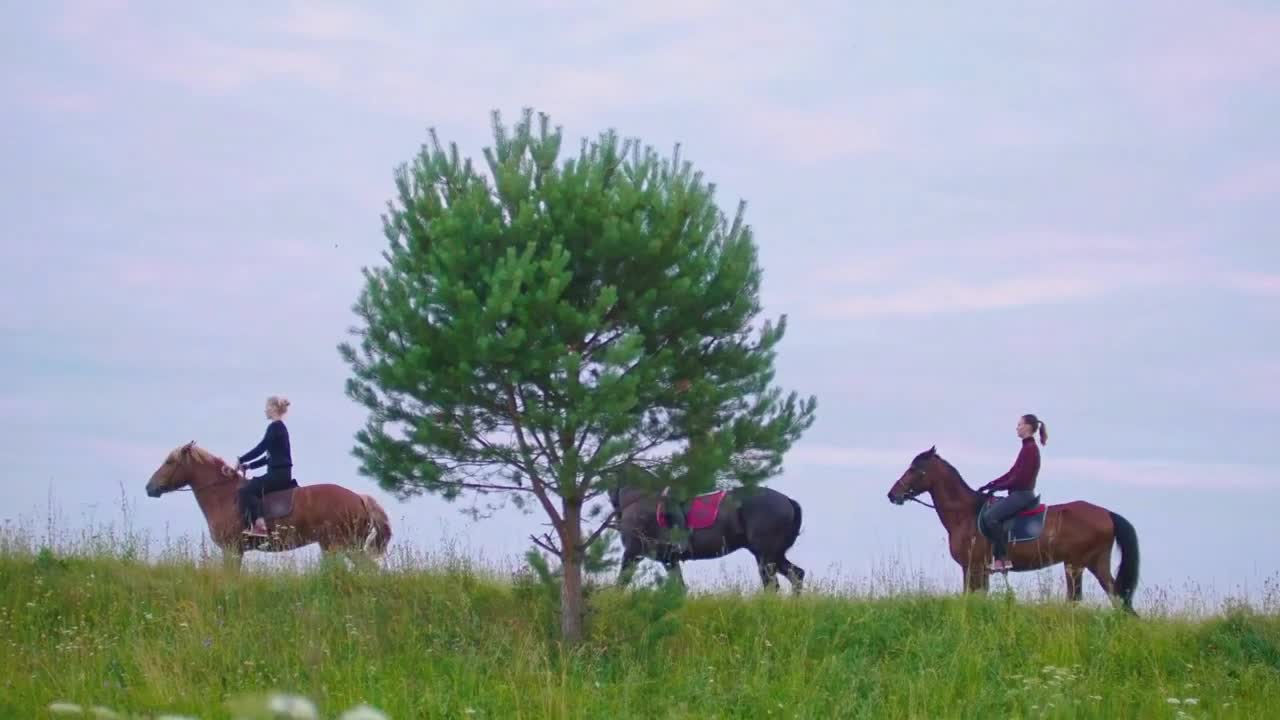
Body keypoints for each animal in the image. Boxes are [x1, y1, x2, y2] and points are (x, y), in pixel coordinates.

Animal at [144, 438, 389, 566]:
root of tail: (359, 498)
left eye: (169, 462)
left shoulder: (232, 550)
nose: (149, 487)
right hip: (344, 547)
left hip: (339, 545)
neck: (224, 495)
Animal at [606, 461, 803, 591]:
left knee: (772, 585)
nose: (616, 513)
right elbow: (679, 589)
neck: (640, 500)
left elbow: (620, 584)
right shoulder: (669, 561)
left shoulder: (632, 553)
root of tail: (787, 500)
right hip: (774, 555)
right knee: (797, 576)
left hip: (765, 555)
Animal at [890, 443, 1141, 609]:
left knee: (1077, 598)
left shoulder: (973, 567)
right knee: (1115, 594)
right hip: (1095, 562)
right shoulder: (978, 570)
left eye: (914, 469)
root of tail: (1106, 513)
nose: (892, 494)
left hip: (1075, 564)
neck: (965, 514)